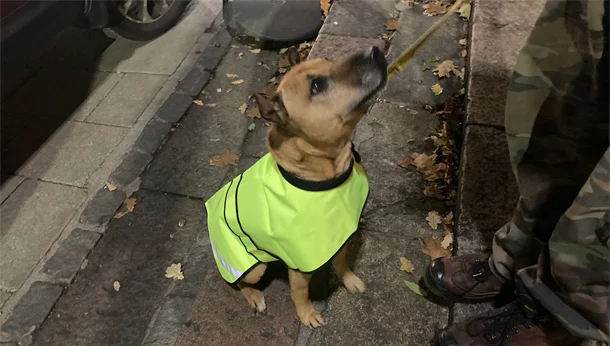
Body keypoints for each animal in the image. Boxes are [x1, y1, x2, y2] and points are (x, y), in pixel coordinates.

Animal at [204, 46, 384, 328]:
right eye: (317, 85)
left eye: (329, 61)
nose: (375, 51)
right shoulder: (300, 262)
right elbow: (299, 292)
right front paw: (306, 314)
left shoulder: (340, 235)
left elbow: (342, 262)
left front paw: (350, 280)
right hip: (251, 267)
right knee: (239, 282)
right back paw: (254, 296)